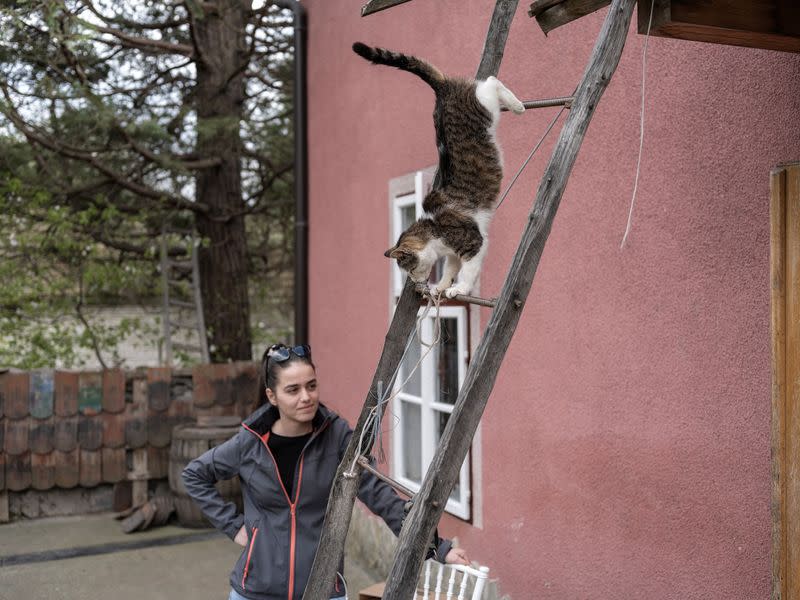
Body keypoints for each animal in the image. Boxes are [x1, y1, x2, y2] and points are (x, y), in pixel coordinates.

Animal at [352, 41, 524, 298]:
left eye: (410, 269)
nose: (415, 282)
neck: (434, 230)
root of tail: (442, 90)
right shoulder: (453, 254)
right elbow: (450, 269)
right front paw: (442, 287)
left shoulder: (473, 242)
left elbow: (468, 270)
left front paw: (459, 288)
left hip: (485, 104)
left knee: (491, 81)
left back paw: (517, 106)